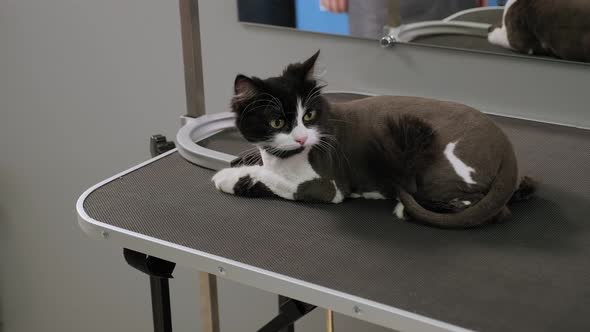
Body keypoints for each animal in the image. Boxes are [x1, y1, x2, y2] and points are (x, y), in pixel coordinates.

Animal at [213, 51, 536, 228]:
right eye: (278, 122)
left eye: (309, 115)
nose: (303, 138)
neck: (281, 157)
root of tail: (505, 145)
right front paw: (243, 161)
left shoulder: (327, 186)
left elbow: (272, 180)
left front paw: (229, 177)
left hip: (440, 169)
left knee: (491, 210)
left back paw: (405, 209)